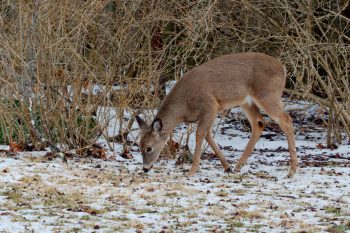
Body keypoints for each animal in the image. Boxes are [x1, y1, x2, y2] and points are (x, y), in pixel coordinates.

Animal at [136, 52, 298, 177]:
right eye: (139, 146)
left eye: (149, 148)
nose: (145, 168)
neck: (184, 105)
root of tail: (283, 68)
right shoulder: (209, 112)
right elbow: (208, 135)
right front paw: (227, 166)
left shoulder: (209, 106)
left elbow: (200, 134)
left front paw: (191, 171)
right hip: (247, 101)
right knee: (258, 123)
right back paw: (237, 166)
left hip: (268, 94)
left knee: (286, 120)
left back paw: (292, 171)